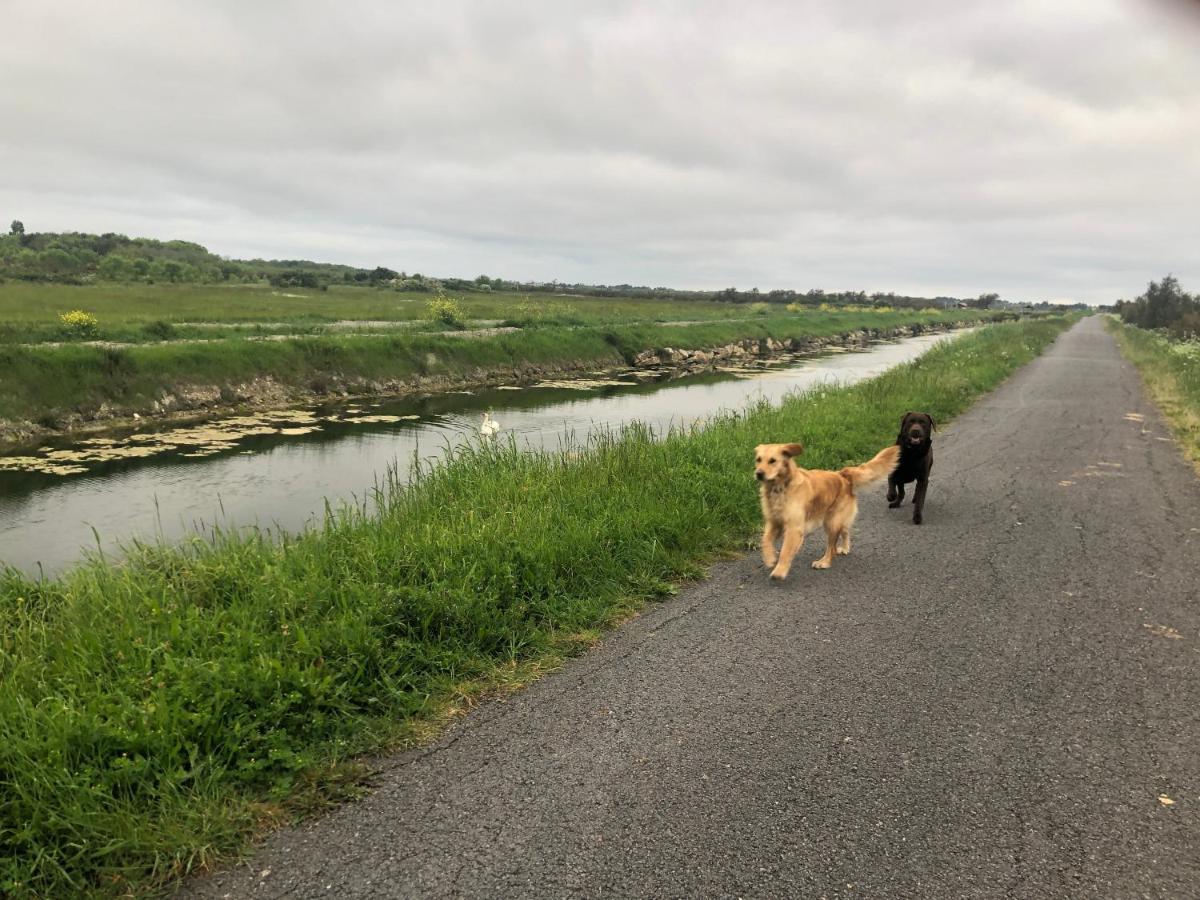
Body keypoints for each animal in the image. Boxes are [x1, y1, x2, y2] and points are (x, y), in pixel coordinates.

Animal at [753, 444, 897, 585]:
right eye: (758, 460)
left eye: (772, 461)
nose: (758, 473)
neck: (780, 487)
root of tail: (842, 475)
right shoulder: (773, 522)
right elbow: (765, 540)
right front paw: (770, 558)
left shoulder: (794, 528)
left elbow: (785, 551)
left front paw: (779, 571)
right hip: (836, 520)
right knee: (845, 531)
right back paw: (845, 547)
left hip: (832, 522)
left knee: (831, 548)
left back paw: (824, 562)